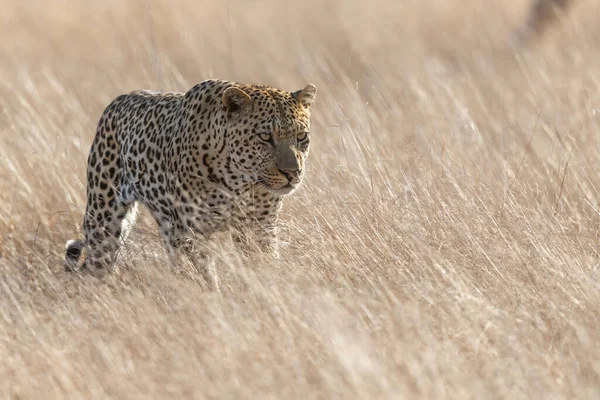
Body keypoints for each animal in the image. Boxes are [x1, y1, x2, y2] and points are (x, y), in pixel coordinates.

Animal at [64, 79, 318, 284]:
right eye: (265, 137)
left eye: (301, 137)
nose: (292, 173)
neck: (237, 180)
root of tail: (120, 99)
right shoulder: (188, 231)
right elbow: (203, 274)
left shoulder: (259, 226)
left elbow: (262, 264)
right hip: (104, 218)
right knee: (96, 265)